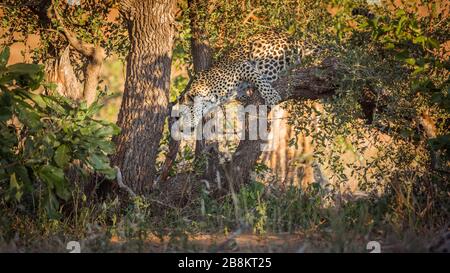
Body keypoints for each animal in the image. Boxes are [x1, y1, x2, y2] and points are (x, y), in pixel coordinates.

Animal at [174, 30, 322, 130]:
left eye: (182, 115)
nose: (180, 129)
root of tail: (293, 38)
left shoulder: (241, 66)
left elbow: (257, 78)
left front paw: (271, 96)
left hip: (264, 56)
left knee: (271, 76)